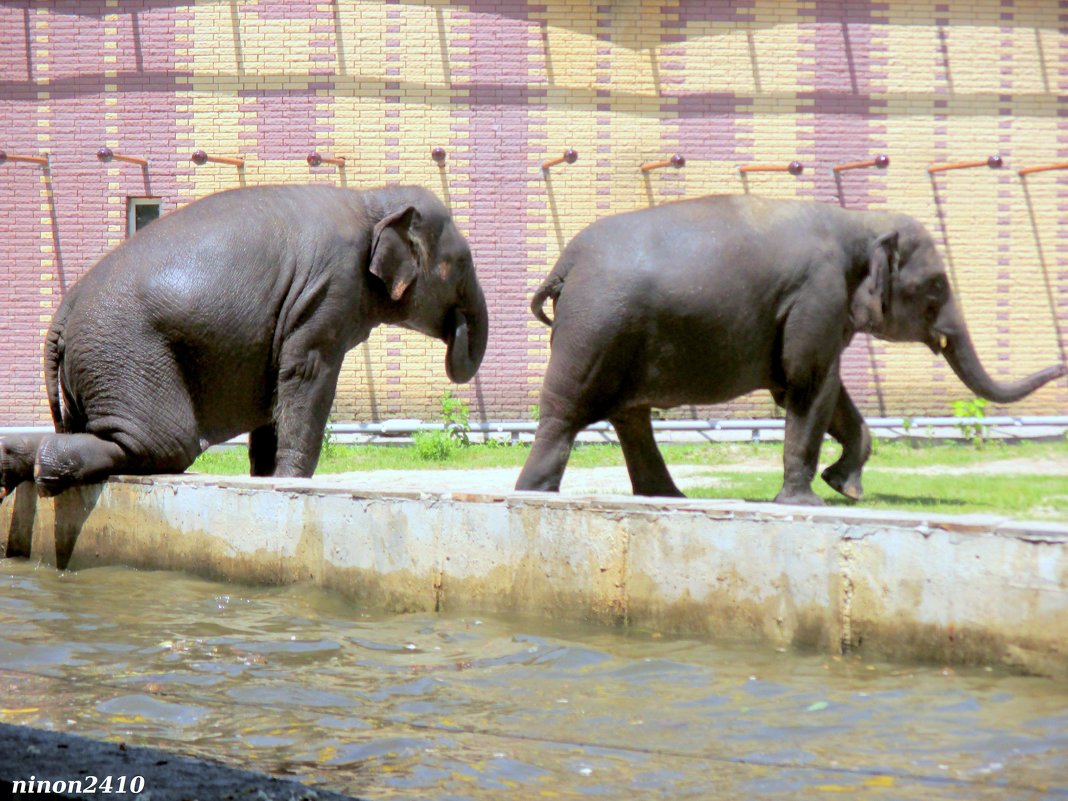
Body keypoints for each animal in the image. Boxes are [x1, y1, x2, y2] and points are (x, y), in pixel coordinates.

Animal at [0, 184, 489, 499]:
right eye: (461, 264)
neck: (372, 199)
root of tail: (62, 314)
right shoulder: (328, 291)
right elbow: (305, 371)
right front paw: (292, 481)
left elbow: (276, 387)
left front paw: (266, 477)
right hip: (125, 354)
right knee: (165, 442)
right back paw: (46, 468)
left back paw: (17, 461)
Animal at [512, 195, 1063, 504]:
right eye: (936, 286)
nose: (1061, 365)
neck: (858, 221)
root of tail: (564, 264)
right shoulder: (817, 294)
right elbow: (808, 382)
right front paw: (807, 503)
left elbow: (822, 389)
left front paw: (845, 487)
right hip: (595, 327)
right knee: (566, 412)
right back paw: (535, 495)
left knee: (631, 416)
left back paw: (667, 496)